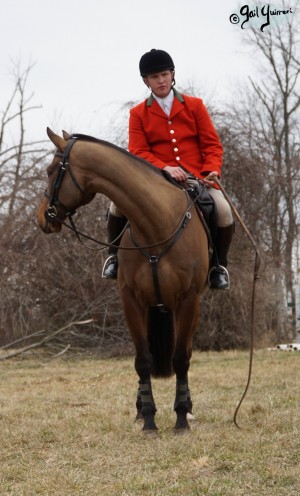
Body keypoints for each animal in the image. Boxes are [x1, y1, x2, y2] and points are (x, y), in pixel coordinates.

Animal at [37, 128, 209, 430]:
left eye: (50, 171)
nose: (42, 217)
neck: (156, 223)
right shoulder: (131, 301)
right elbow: (142, 360)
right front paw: (149, 418)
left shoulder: (188, 301)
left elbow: (180, 359)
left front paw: (180, 418)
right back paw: (142, 408)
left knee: (185, 352)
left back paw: (187, 407)